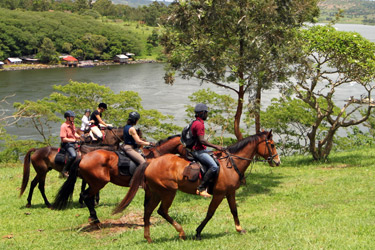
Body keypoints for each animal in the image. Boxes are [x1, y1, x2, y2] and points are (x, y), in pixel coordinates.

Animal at [53, 134, 187, 222]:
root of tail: (83, 157)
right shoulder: (149, 187)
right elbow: (147, 204)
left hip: (93, 183)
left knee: (86, 196)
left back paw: (92, 216)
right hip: (98, 183)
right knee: (86, 195)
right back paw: (95, 218)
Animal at [113, 130, 280, 243]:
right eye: (272, 145)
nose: (277, 161)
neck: (230, 164)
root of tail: (150, 162)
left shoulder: (230, 192)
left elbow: (234, 210)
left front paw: (239, 229)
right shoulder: (219, 194)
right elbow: (210, 213)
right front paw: (198, 232)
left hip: (155, 192)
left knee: (148, 212)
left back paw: (148, 238)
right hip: (168, 192)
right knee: (162, 211)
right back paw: (181, 233)